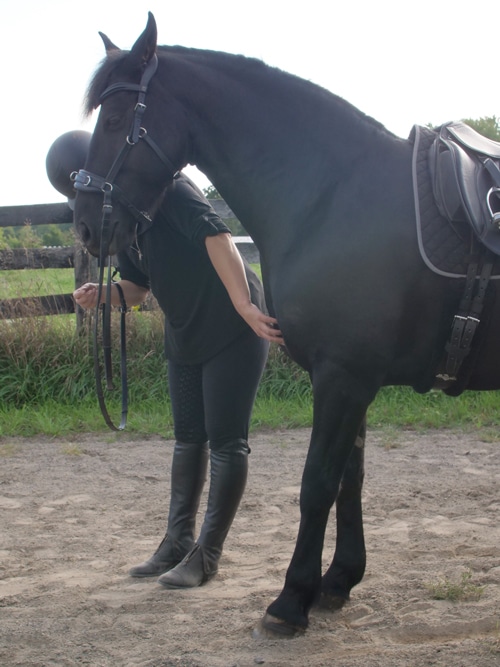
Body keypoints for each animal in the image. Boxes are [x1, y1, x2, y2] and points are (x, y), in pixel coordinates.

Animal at [73, 13, 500, 637]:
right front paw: (338, 581)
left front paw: (291, 600)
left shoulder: (342, 377)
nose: (84, 224)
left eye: (114, 117)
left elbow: (316, 483)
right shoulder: (354, 380)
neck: (334, 196)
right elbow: (350, 481)